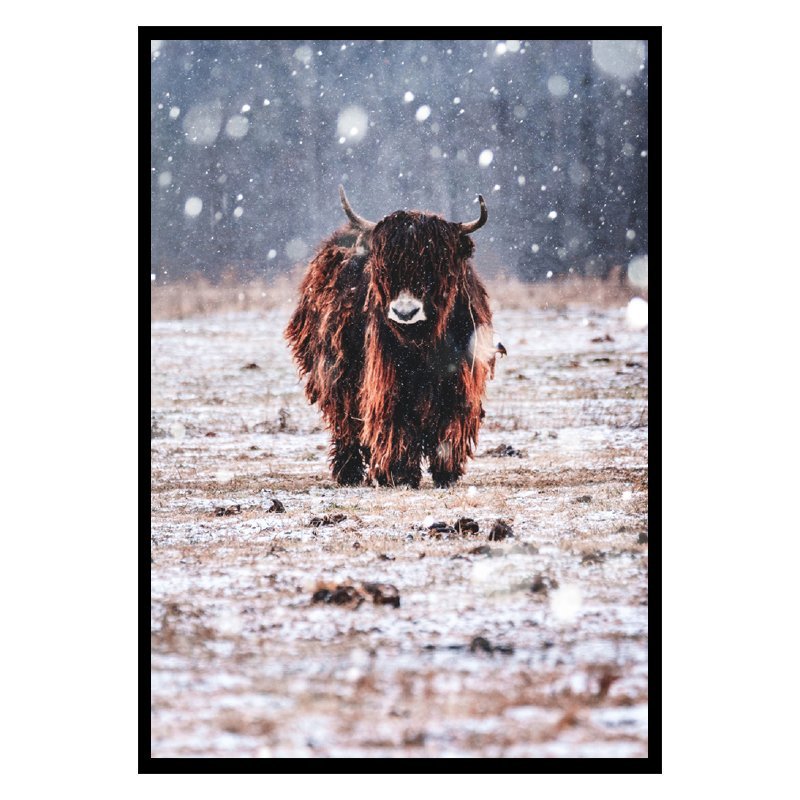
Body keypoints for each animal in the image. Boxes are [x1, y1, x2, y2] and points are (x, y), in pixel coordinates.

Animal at [285, 186, 503, 488]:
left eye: (433, 267)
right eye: (386, 268)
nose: (405, 312)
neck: (424, 343)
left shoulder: (459, 377)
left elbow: (449, 421)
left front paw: (446, 472)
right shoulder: (387, 379)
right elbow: (396, 422)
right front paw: (400, 474)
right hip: (334, 373)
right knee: (346, 422)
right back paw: (349, 473)